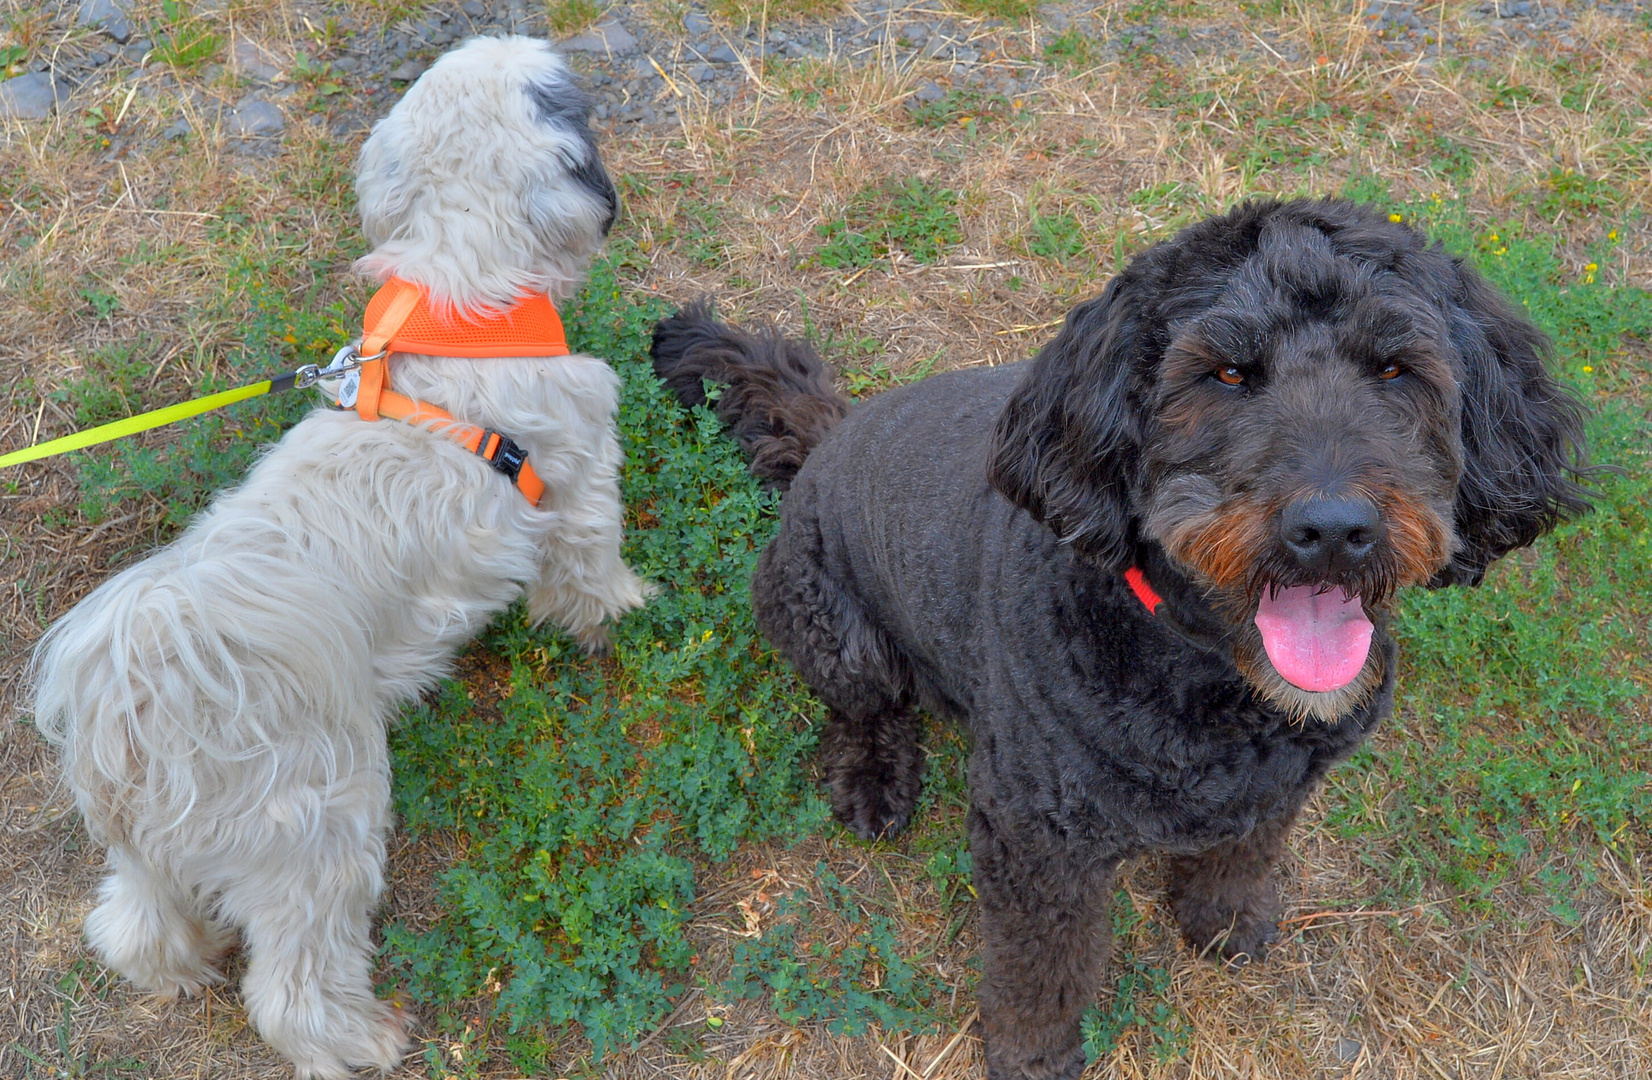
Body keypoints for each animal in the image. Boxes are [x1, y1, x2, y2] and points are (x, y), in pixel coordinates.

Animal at [30, 37, 650, 1076]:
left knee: (133, 925)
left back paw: (177, 969)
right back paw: (359, 1037)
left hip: (149, 851)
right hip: (321, 828)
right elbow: (591, 569)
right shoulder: (579, 477)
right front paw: (623, 616)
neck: (458, 299)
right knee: (291, 987)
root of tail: (140, 692)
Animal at [650, 198, 1592, 1076]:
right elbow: (1041, 970)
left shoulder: (1280, 786)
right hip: (829, 623)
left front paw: (1223, 919)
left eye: (1395, 368)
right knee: (865, 707)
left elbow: (1242, 853)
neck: (1208, 671)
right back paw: (874, 777)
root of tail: (829, 434)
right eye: (1227, 373)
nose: (1333, 529)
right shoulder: (1036, 844)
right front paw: (1032, 1055)